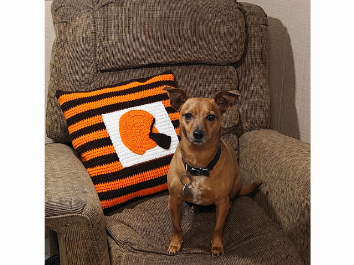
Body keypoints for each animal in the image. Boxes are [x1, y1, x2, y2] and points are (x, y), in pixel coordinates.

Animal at [164, 86, 262, 256]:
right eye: (188, 115)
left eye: (211, 117)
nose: (198, 134)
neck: (199, 161)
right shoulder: (174, 200)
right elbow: (177, 226)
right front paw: (176, 243)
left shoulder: (221, 203)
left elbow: (218, 227)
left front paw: (216, 245)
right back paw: (195, 206)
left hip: (235, 185)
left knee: (231, 200)